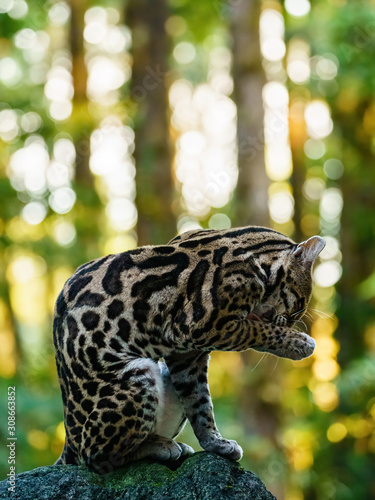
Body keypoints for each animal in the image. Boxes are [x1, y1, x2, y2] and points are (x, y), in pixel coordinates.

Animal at [53, 227, 326, 472]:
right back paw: (157, 446)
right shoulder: (204, 325)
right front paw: (299, 343)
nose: (289, 322)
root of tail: (69, 441)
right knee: (96, 456)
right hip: (138, 376)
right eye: (297, 309)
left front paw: (215, 443)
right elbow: (258, 331)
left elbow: (201, 402)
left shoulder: (186, 353)